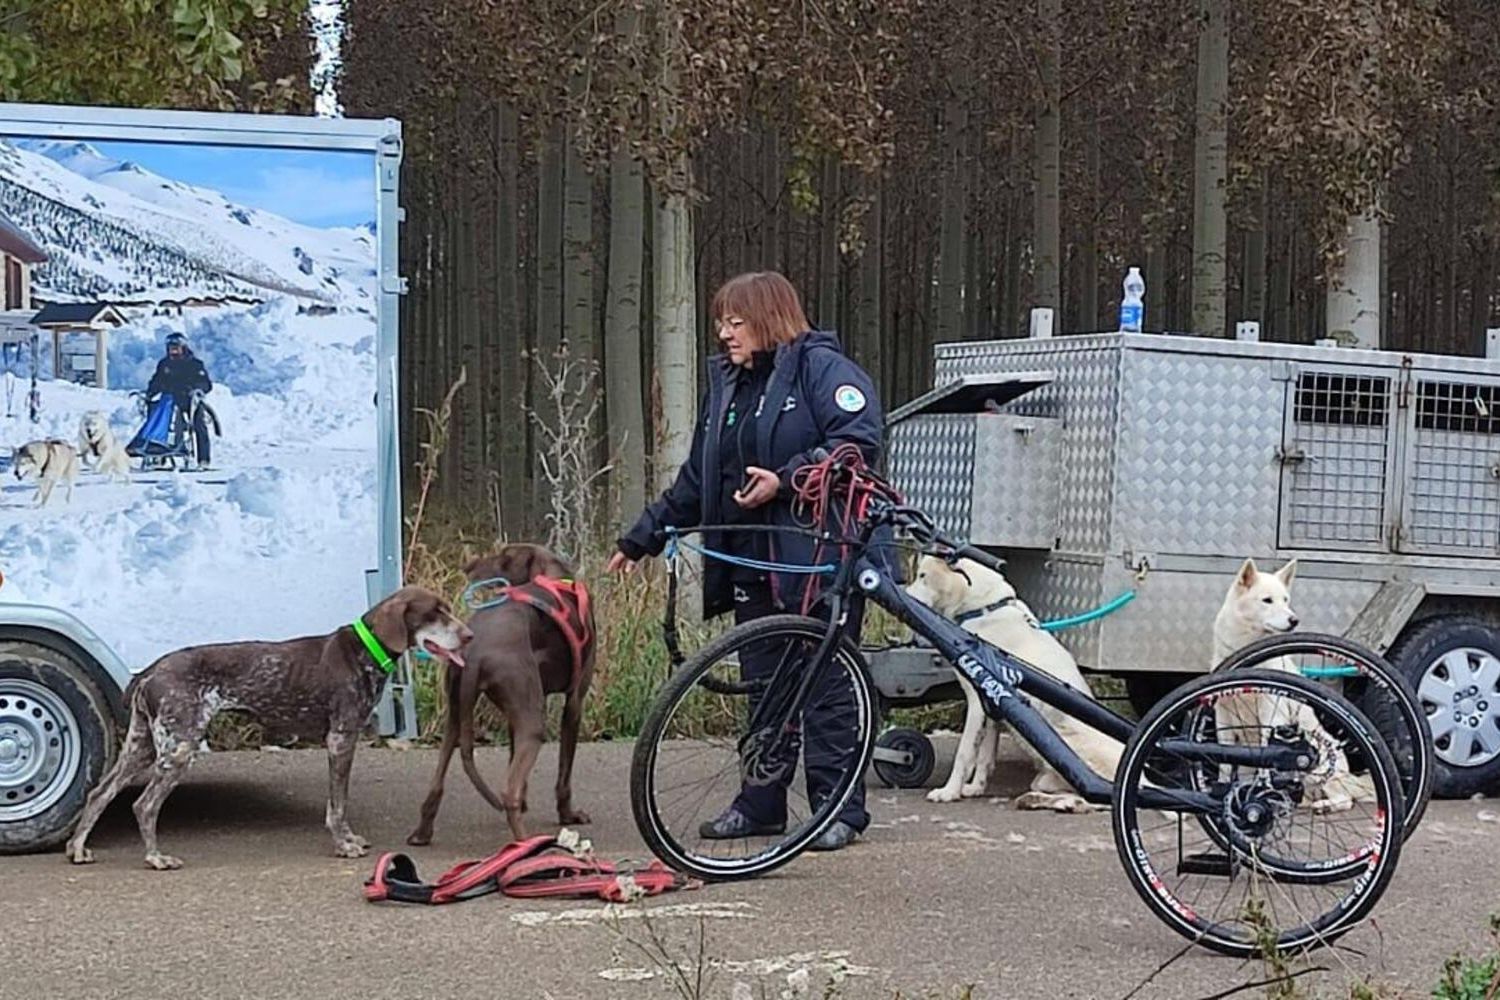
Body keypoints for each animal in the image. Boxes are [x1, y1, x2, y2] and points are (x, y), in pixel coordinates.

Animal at [64, 587, 468, 869]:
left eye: (446, 608)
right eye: (434, 612)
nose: (468, 635)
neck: (363, 652)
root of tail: (150, 671)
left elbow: (340, 802)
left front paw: (349, 838)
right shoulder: (341, 738)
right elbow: (337, 804)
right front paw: (343, 845)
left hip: (143, 744)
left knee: (99, 792)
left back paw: (79, 848)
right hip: (180, 747)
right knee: (144, 805)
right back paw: (156, 858)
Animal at [411, 542, 603, 851]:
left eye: (503, 558)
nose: (467, 566)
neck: (555, 576)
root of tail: (474, 653)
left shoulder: (515, 716)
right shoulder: (575, 703)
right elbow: (564, 773)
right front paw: (568, 815)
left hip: (455, 714)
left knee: (437, 782)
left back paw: (422, 832)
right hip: (534, 722)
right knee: (508, 793)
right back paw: (526, 845)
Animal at [900, 554, 1128, 815]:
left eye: (923, 576)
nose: (906, 595)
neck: (981, 609)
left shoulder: (976, 702)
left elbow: (965, 753)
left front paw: (949, 792)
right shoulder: (992, 706)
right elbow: (985, 755)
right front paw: (975, 788)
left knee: (1100, 796)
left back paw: (1064, 803)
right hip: (1047, 775)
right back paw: (1037, 799)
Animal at [1212, 560, 1374, 815]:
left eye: (1285, 599)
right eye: (1267, 600)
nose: (1294, 620)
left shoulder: (1270, 712)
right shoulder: (1223, 716)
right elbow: (1227, 764)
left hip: (1321, 763)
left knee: (1345, 799)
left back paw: (1323, 806)